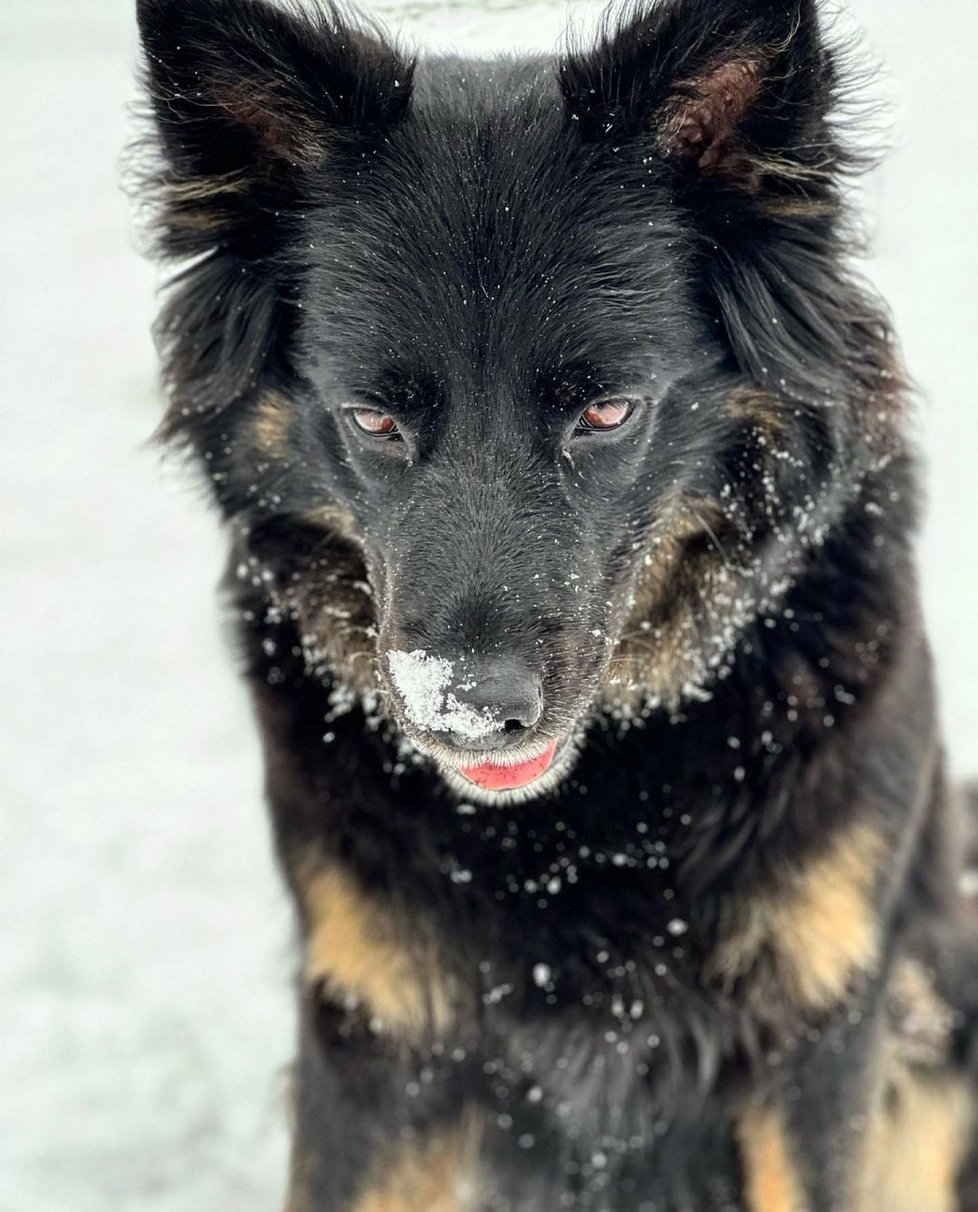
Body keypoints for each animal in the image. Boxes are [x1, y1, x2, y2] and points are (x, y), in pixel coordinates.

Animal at [132, 0, 978, 1207]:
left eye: (608, 411)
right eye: (374, 418)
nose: (469, 711)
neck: (588, 817)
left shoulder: (819, 1035)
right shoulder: (375, 1037)